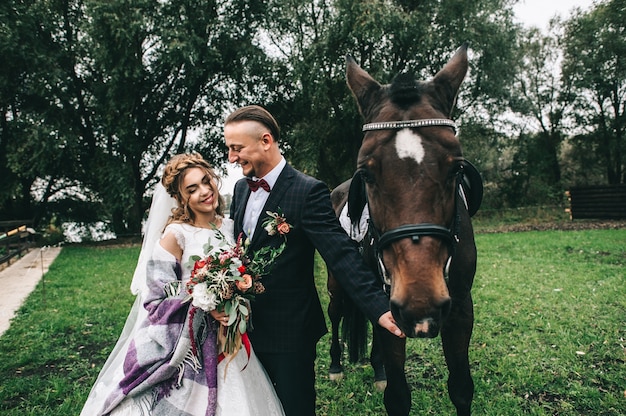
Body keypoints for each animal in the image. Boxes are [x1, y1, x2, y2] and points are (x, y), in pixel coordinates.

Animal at [324, 43, 480, 416]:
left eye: (457, 169)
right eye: (366, 173)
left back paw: (378, 368)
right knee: (335, 315)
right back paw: (336, 365)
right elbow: (397, 396)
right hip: (337, 285)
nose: (420, 305)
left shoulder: (460, 308)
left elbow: (461, 388)